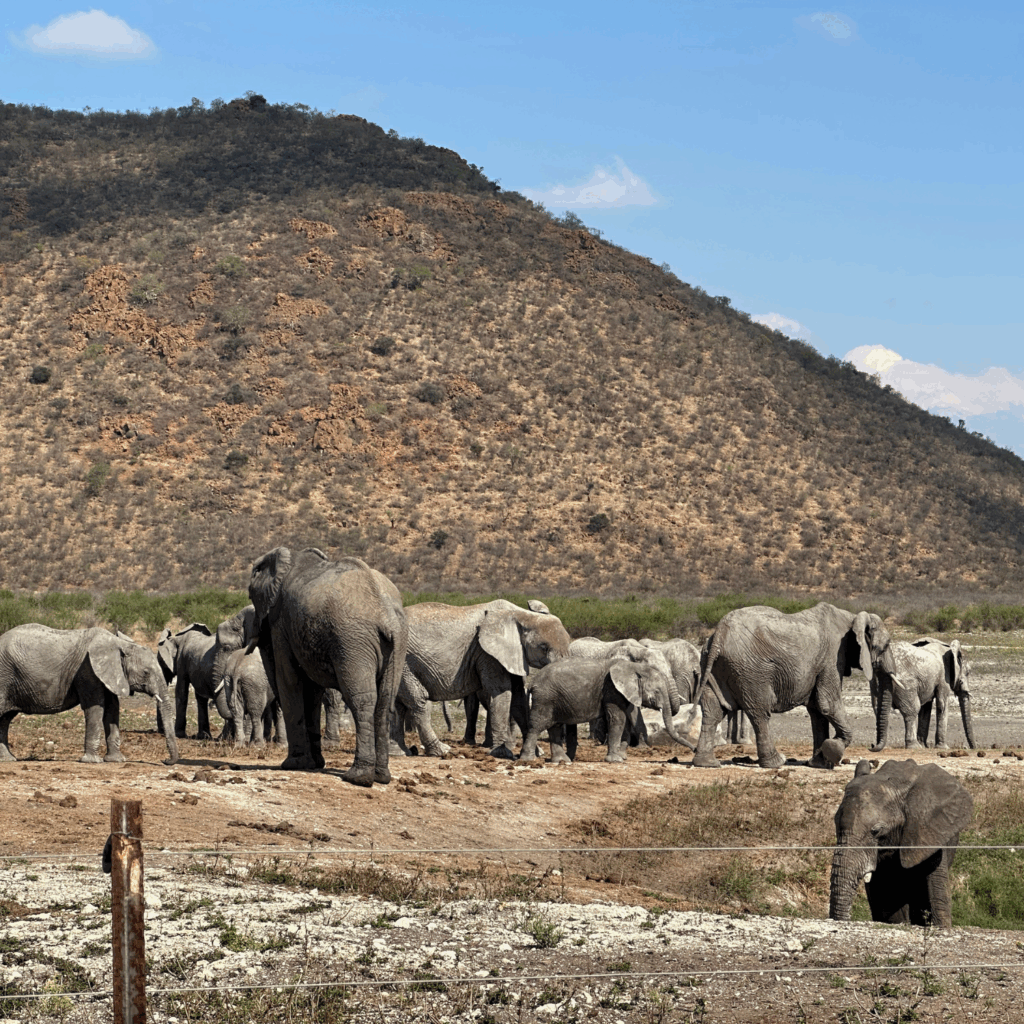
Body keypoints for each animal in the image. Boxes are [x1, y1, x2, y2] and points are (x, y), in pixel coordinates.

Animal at [0, 625, 179, 764]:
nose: (165, 760)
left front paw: (116, 760)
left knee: (5, 719)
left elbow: (112, 709)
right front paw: (93, 761)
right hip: (4, 677)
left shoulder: (108, 675)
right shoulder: (88, 671)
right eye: (146, 673)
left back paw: (8, 759)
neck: (118, 644)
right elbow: (95, 708)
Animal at [248, 546, 408, 786]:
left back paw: (358, 777)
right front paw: (314, 764)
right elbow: (312, 692)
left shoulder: (281, 623)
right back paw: (381, 777)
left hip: (352, 641)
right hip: (396, 644)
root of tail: (386, 614)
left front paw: (294, 765)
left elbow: (289, 681)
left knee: (361, 699)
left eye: (251, 597)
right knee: (385, 701)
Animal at [391, 599, 571, 759]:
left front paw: (536, 753)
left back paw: (400, 753)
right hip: (404, 661)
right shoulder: (487, 654)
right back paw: (442, 751)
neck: (521, 614)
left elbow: (518, 699)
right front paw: (502, 754)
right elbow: (502, 693)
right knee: (417, 702)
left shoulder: (513, 655)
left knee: (398, 705)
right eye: (543, 647)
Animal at [520, 645, 692, 763]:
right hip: (545, 698)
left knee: (554, 726)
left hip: (554, 699)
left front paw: (621, 756)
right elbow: (618, 719)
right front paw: (615, 760)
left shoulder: (622, 691)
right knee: (537, 726)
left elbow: (628, 717)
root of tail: (532, 682)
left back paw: (562, 761)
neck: (633, 667)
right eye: (656, 691)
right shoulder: (611, 689)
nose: (694, 749)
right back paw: (528, 759)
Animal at [694, 602, 896, 769]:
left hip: (712, 664)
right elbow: (827, 703)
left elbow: (817, 709)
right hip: (751, 671)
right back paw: (776, 763)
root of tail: (719, 634)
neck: (852, 617)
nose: (872, 746)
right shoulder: (832, 657)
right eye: (886, 645)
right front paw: (833, 749)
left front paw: (819, 764)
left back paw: (707, 763)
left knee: (713, 711)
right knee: (759, 713)